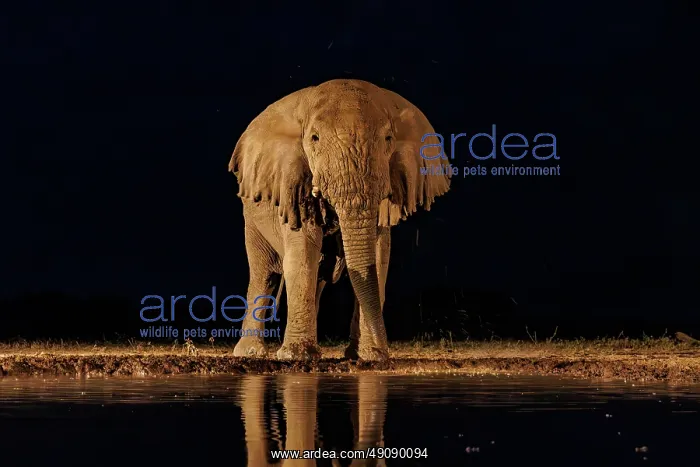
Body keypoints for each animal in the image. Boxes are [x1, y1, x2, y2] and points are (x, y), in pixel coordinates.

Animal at [229, 79, 450, 361]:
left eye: (388, 139)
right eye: (314, 138)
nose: (385, 354)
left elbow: (378, 257)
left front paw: (366, 355)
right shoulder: (295, 178)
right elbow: (302, 253)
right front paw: (296, 356)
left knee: (319, 277)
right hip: (252, 216)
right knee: (265, 272)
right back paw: (250, 352)